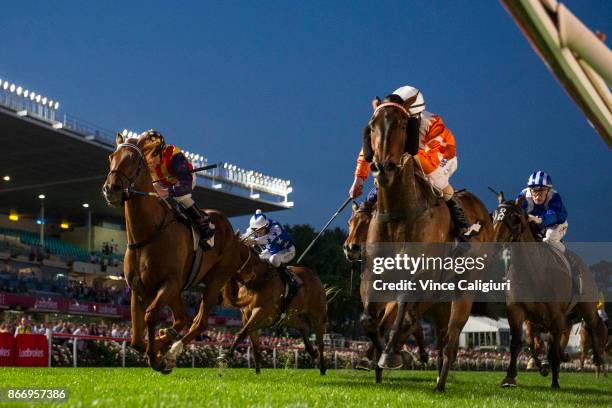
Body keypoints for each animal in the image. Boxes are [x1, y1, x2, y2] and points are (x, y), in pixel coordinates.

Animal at [102, 134, 244, 372]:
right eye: (112, 156)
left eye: (133, 159)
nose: (111, 188)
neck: (149, 232)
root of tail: (232, 232)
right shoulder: (139, 290)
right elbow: (136, 339)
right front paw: (158, 347)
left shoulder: (169, 283)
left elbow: (151, 316)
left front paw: (157, 356)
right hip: (179, 290)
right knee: (183, 318)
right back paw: (167, 342)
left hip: (215, 279)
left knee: (199, 322)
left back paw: (171, 352)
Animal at [222, 242, 330, 376]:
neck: (259, 279)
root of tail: (315, 276)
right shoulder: (246, 315)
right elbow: (254, 343)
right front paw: (257, 372)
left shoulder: (263, 312)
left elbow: (242, 333)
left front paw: (226, 357)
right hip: (288, 316)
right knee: (303, 326)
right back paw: (312, 351)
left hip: (317, 314)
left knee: (320, 342)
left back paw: (322, 367)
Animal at [358, 95, 492, 392]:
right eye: (373, 125)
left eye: (402, 124)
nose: (384, 168)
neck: (400, 210)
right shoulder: (376, 273)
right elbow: (370, 320)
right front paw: (378, 356)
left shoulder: (422, 272)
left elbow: (403, 307)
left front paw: (391, 354)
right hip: (441, 299)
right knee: (440, 336)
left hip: (464, 290)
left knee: (451, 340)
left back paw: (439, 382)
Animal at [490, 193, 604, 388]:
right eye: (494, 215)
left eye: (514, 217)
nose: (495, 244)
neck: (533, 271)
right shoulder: (517, 310)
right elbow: (520, 343)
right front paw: (510, 376)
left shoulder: (556, 317)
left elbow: (552, 350)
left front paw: (555, 381)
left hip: (587, 309)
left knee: (593, 327)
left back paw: (598, 361)